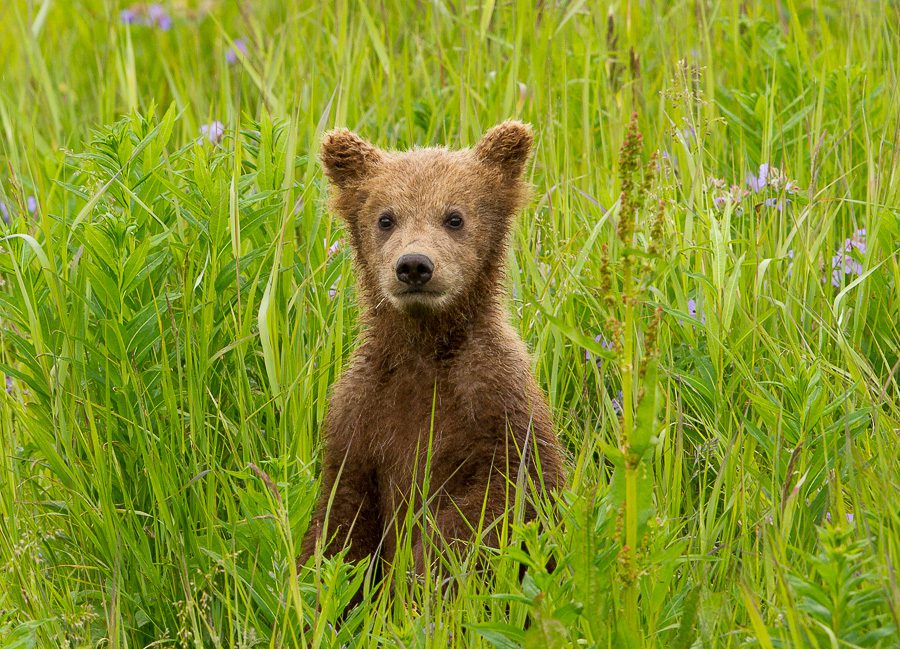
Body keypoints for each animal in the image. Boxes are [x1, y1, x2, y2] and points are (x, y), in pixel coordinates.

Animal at [298, 120, 568, 572]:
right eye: (386, 218)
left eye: (454, 217)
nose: (414, 265)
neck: (424, 347)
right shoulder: (360, 418)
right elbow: (340, 520)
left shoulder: (496, 403)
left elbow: (502, 499)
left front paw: (424, 569)